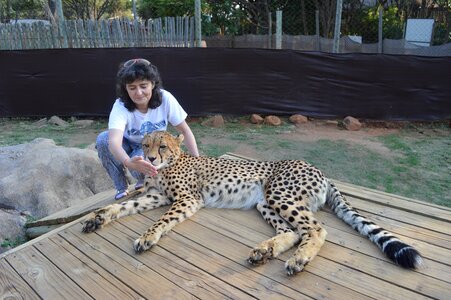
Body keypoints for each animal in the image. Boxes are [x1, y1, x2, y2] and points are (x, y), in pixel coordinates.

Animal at [84, 131, 424, 274]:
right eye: (145, 145)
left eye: (162, 146)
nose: (151, 158)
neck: (170, 163)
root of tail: (319, 169)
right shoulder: (157, 195)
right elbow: (121, 207)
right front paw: (97, 217)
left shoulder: (188, 199)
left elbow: (163, 219)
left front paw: (148, 236)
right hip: (265, 202)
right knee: (292, 231)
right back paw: (265, 251)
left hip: (280, 193)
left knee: (316, 229)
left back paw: (298, 259)